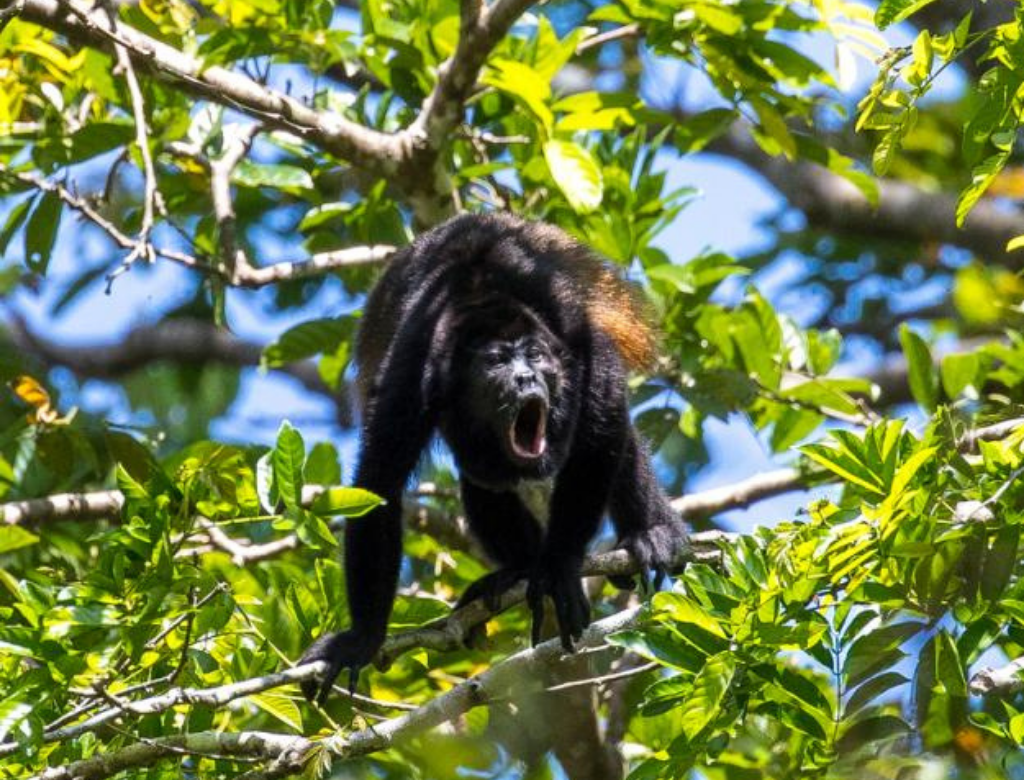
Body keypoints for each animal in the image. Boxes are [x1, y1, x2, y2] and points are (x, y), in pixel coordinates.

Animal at [300, 212, 687, 702]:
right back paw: (517, 570)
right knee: (481, 476)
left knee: (617, 434)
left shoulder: (573, 333)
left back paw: (652, 533)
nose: (526, 379)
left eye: (535, 356)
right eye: (497, 362)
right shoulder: (414, 370)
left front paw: (558, 568)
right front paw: (362, 638)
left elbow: (600, 423)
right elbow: (380, 483)